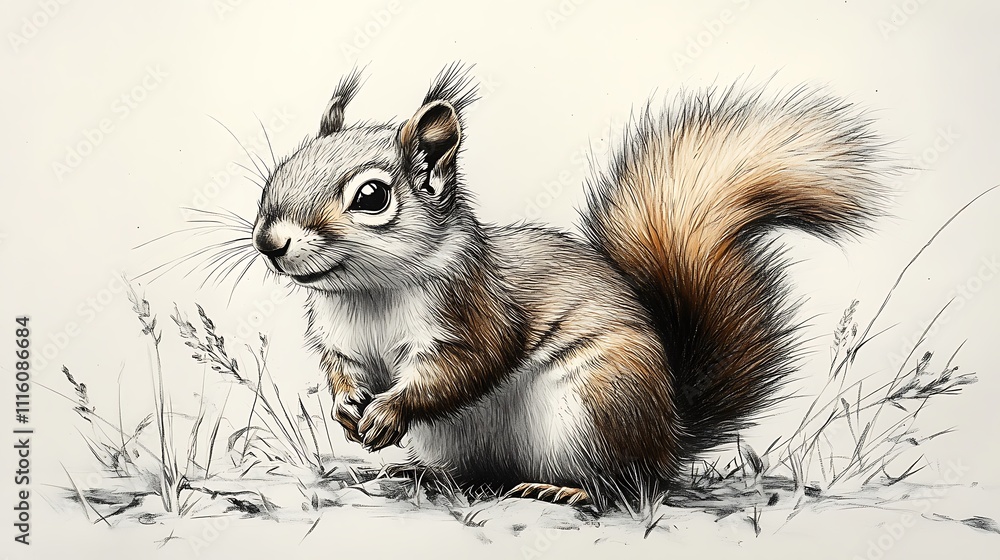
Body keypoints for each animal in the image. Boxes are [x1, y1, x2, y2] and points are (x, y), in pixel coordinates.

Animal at [250, 64, 889, 507]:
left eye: (372, 196)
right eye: (279, 172)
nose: (269, 241)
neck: (368, 293)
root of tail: (670, 433)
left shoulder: (474, 310)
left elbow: (468, 365)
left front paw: (386, 412)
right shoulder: (339, 339)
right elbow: (341, 371)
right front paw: (346, 407)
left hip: (600, 405)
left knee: (632, 484)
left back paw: (571, 491)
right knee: (474, 475)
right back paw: (418, 472)